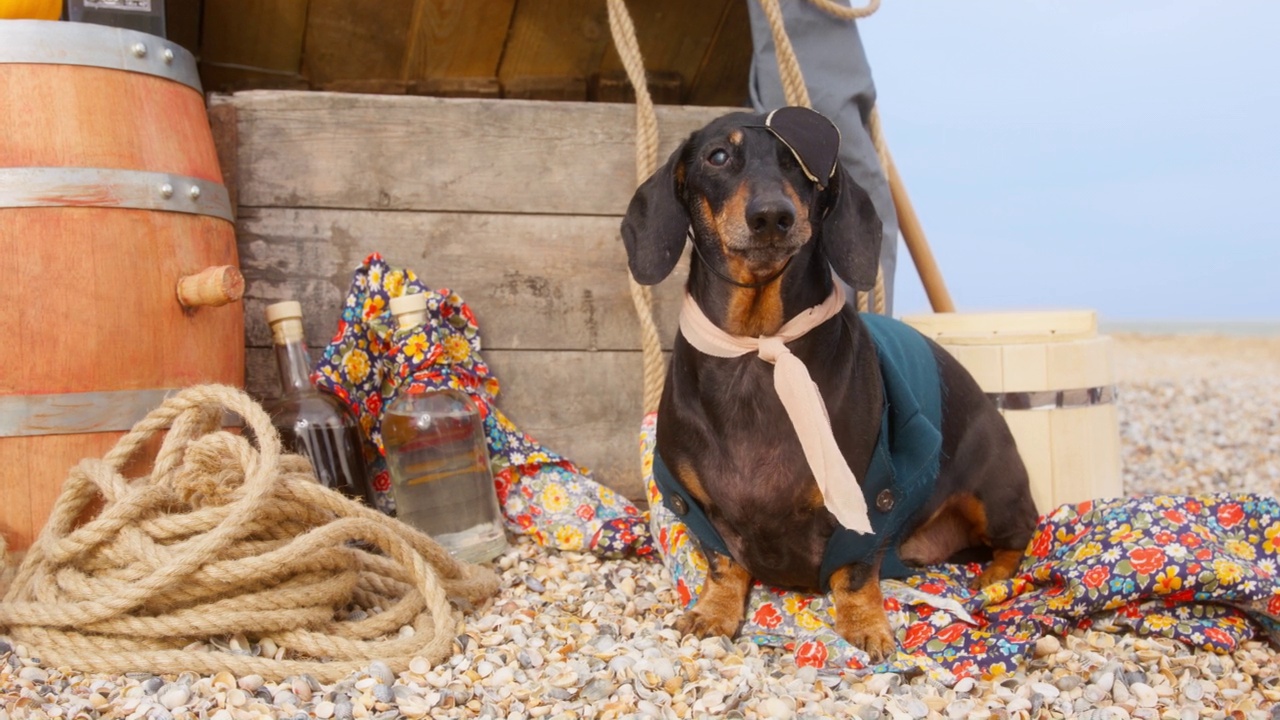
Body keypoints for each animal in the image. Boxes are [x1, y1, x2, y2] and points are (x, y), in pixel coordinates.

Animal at [619, 106, 1039, 655]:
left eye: (801, 163)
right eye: (718, 156)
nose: (772, 216)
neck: (759, 344)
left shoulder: (872, 497)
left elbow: (855, 570)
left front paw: (864, 625)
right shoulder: (693, 504)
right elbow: (723, 563)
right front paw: (714, 611)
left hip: (994, 494)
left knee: (1022, 534)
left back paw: (995, 576)